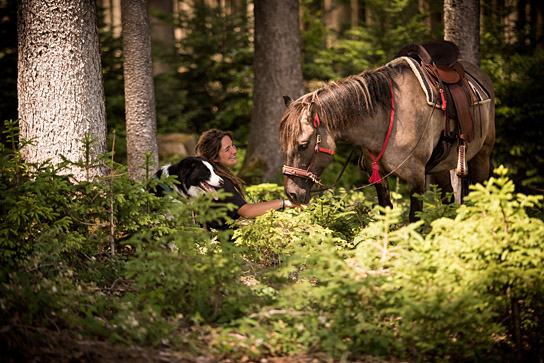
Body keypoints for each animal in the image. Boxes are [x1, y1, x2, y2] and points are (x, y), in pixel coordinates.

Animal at [278, 57, 496, 222]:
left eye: (303, 145)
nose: (291, 194)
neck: (388, 118)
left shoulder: (416, 177)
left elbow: (414, 219)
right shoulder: (378, 175)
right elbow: (386, 212)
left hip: (482, 155)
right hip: (440, 167)